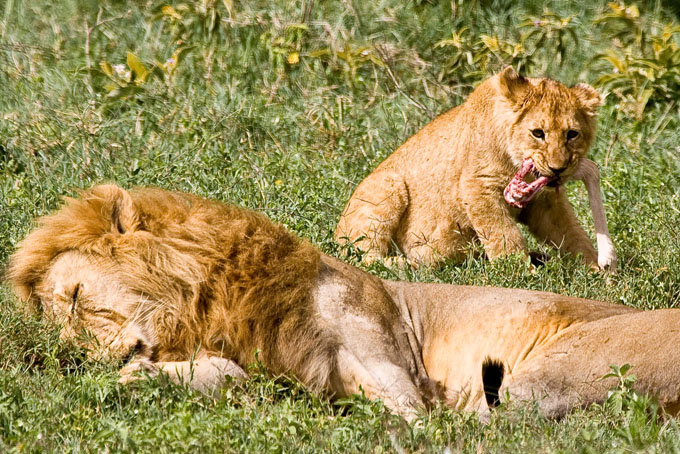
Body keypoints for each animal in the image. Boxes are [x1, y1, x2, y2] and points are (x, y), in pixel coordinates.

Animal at [6, 184, 680, 418]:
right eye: (53, 318)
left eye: (75, 300)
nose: (70, 359)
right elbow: (230, 376)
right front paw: (135, 382)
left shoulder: (395, 369)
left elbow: (412, 413)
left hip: (548, 374)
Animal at [334, 66, 616, 272]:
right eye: (538, 133)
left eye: (572, 134)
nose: (558, 169)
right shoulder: (479, 186)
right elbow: (504, 235)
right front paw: (521, 274)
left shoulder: (546, 203)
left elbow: (571, 233)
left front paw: (595, 270)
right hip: (388, 184)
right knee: (362, 256)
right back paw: (408, 263)